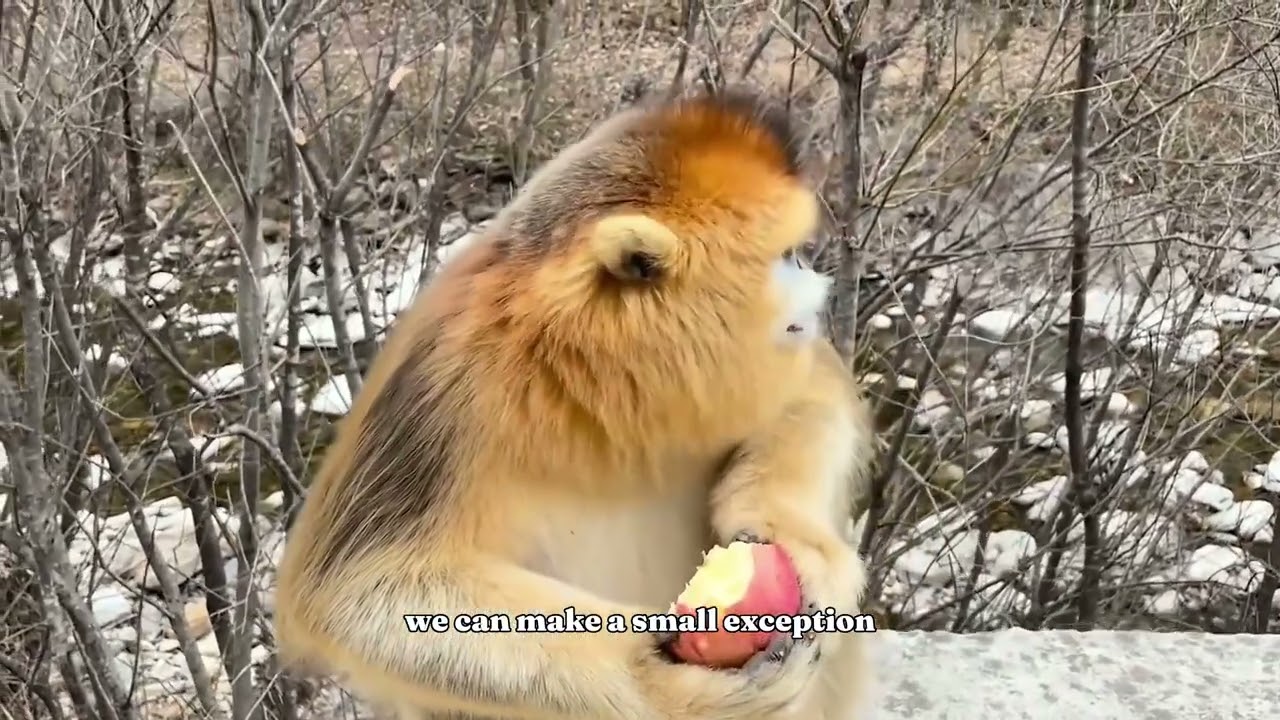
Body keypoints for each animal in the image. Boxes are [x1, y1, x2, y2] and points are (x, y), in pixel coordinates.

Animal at [273, 87, 879, 720]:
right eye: (788, 256)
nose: (820, 289)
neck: (588, 356)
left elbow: (816, 389)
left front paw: (799, 544)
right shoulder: (443, 386)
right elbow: (357, 591)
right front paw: (662, 686)